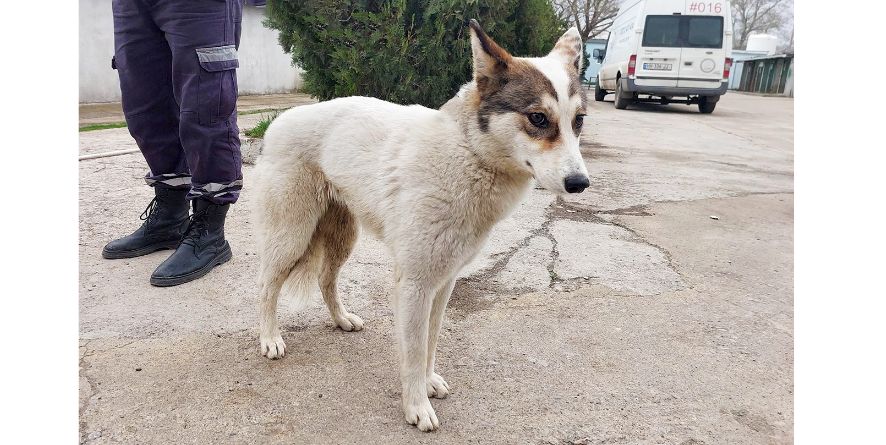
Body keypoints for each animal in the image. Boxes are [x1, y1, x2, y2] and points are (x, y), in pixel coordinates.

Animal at [253, 20, 592, 430]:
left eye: (578, 121)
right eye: (538, 118)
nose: (580, 184)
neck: (468, 153)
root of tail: (280, 121)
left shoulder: (443, 283)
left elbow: (430, 344)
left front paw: (428, 384)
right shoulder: (415, 285)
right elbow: (414, 353)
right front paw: (417, 406)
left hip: (342, 237)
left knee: (325, 279)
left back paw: (341, 319)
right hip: (292, 236)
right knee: (267, 286)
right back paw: (270, 338)